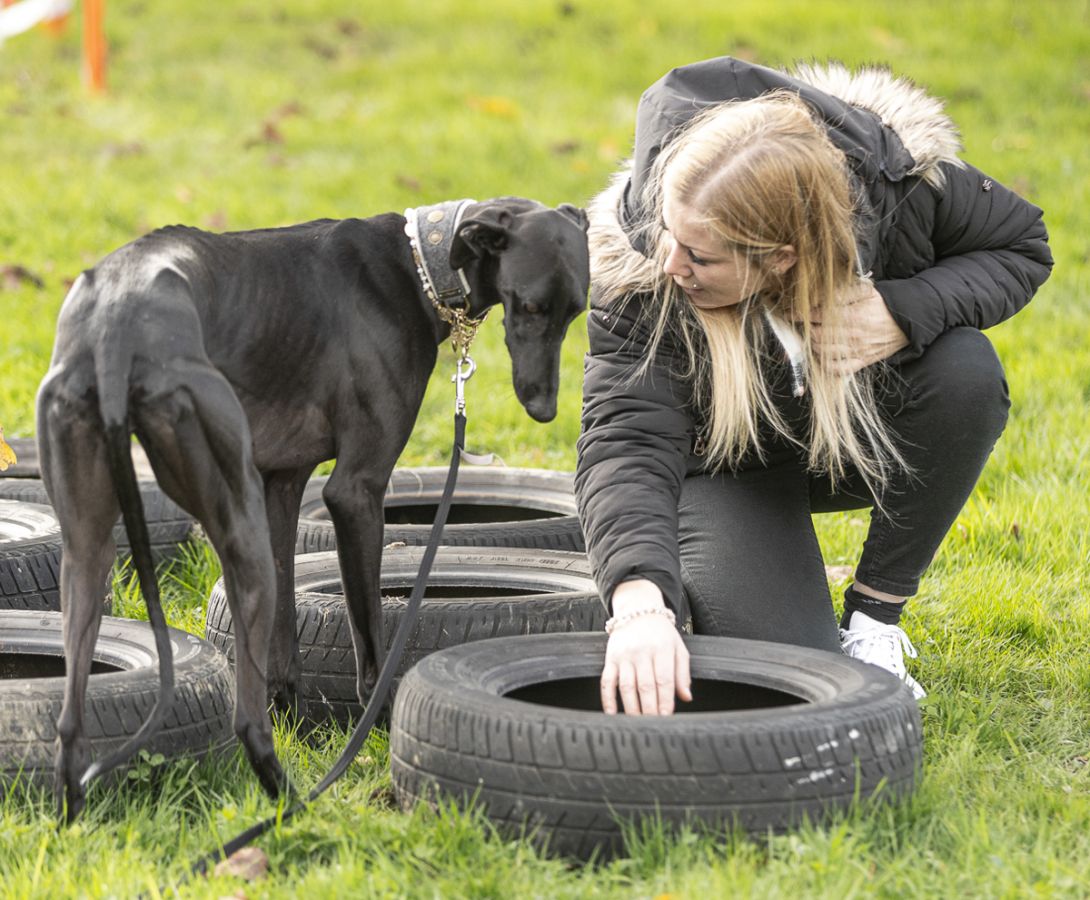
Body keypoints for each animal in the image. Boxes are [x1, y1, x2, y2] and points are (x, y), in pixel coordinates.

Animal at [37, 197, 590, 820]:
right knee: (246, 721)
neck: (416, 262)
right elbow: (369, 639)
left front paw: (299, 725)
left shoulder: (280, 486)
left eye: (576, 311)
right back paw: (293, 809)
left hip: (89, 550)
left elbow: (285, 646)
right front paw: (375, 734)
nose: (544, 408)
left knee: (70, 724)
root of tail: (116, 328)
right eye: (531, 304)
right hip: (238, 529)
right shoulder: (354, 492)